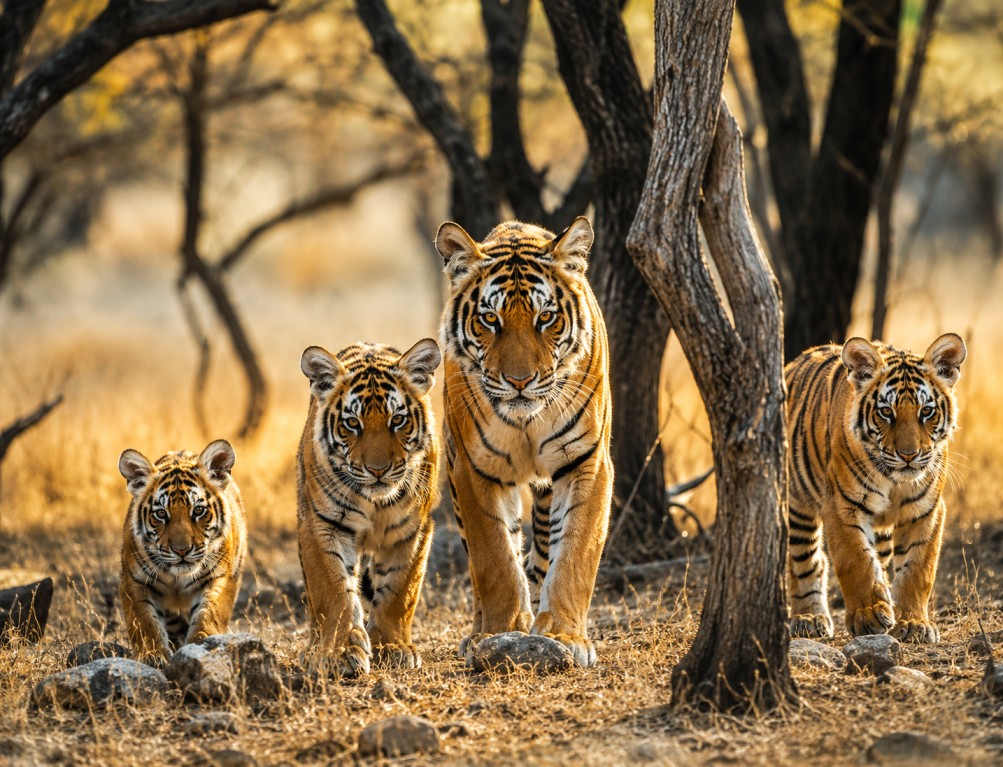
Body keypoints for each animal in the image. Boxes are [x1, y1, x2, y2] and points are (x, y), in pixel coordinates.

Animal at [118, 440, 247, 666]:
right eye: (161, 514)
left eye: (198, 511)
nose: (182, 550)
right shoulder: (134, 581)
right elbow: (144, 622)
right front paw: (153, 655)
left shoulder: (220, 577)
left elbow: (208, 614)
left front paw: (201, 646)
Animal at [297, 338, 440, 677]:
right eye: (352, 423)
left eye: (397, 419)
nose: (378, 470)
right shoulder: (323, 525)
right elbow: (334, 592)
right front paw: (338, 653)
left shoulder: (413, 530)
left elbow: (400, 591)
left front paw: (393, 648)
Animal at [435, 216, 613, 668]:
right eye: (489, 319)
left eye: (545, 317)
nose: (519, 381)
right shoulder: (474, 469)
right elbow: (494, 559)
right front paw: (499, 632)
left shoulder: (587, 462)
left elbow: (575, 554)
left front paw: (566, 636)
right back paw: (477, 631)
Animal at [786, 333, 966, 643]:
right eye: (885, 412)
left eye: (926, 411)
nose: (909, 455)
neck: (895, 480)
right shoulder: (842, 505)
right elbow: (855, 560)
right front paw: (868, 616)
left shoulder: (927, 510)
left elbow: (919, 568)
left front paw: (913, 623)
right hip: (798, 505)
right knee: (807, 560)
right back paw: (808, 619)